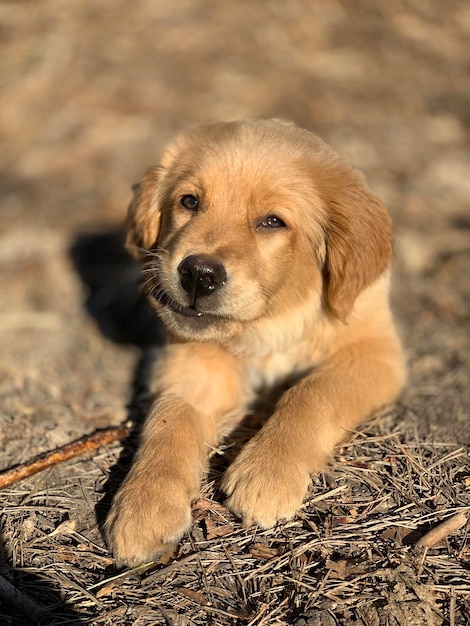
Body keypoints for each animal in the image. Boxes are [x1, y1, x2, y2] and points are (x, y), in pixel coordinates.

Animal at [104, 119, 406, 564]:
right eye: (189, 201)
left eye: (272, 222)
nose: (199, 274)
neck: (270, 322)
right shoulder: (193, 361)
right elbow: (169, 418)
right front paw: (144, 503)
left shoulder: (373, 350)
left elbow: (313, 391)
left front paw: (268, 471)